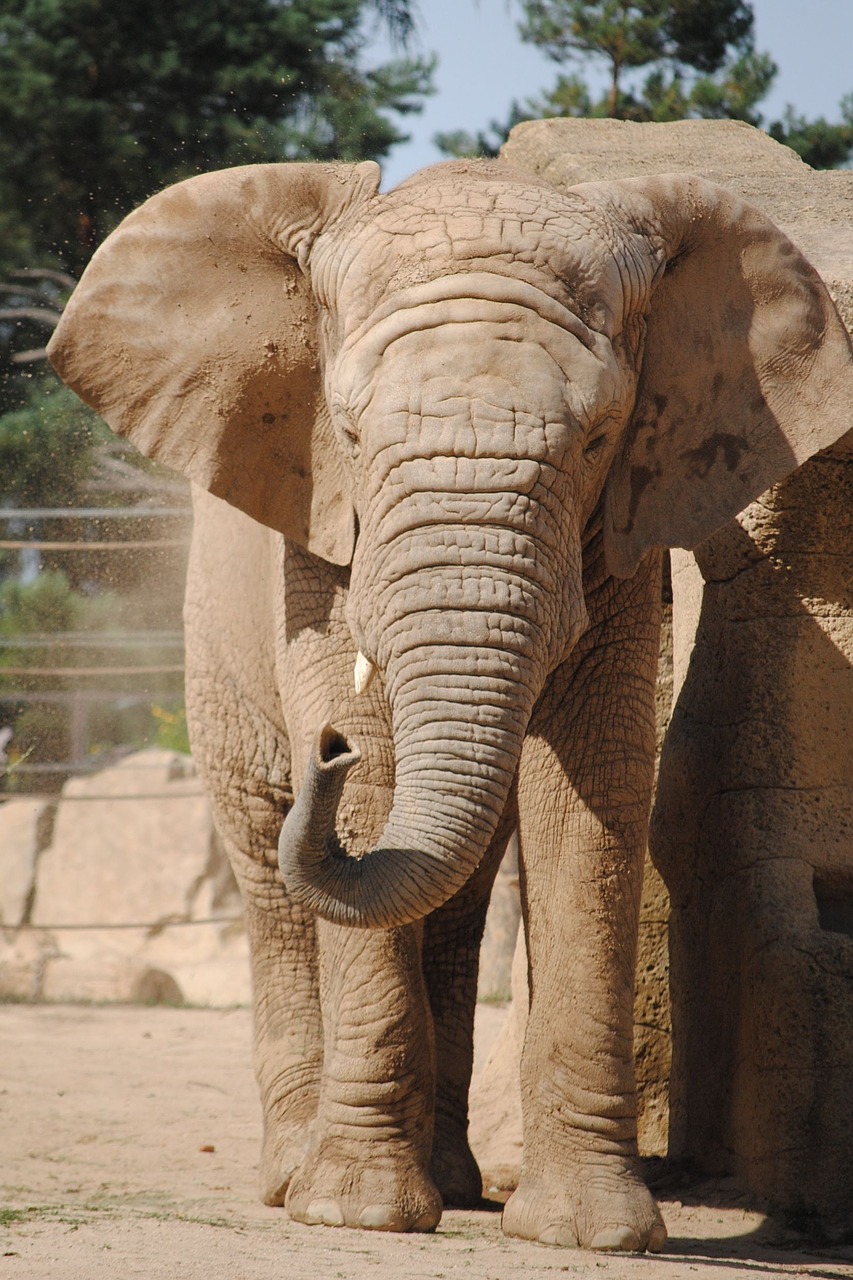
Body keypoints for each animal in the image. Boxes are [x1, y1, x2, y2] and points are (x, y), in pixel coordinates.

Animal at [46, 152, 850, 1249]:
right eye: (347, 433)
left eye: (599, 438)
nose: (325, 751)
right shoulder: (320, 541)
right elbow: (385, 774)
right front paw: (355, 1213)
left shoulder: (621, 531)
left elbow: (590, 791)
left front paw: (592, 1233)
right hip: (210, 638)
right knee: (269, 862)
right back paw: (293, 1176)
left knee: (455, 897)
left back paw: (457, 1182)